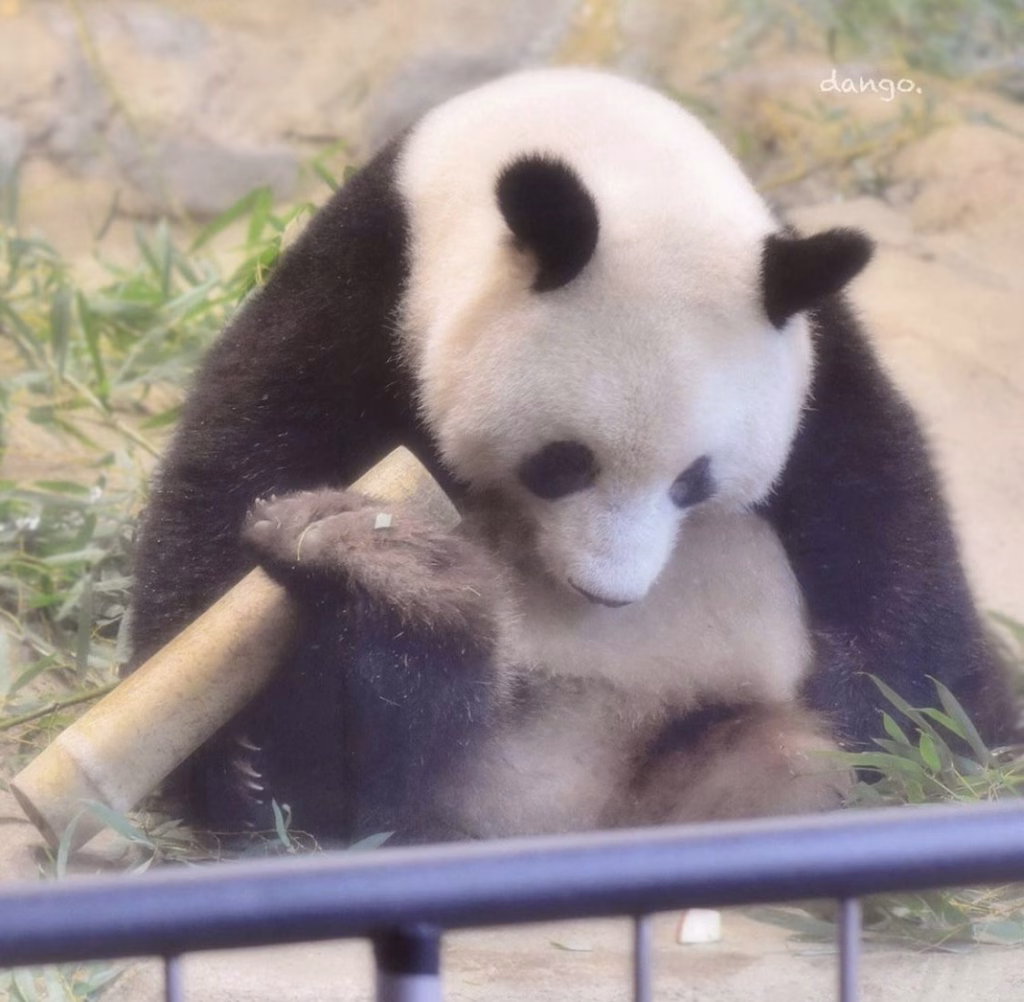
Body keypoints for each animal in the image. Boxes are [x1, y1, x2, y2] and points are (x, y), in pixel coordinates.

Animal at [128, 68, 1015, 844]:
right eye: (563, 463)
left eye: (694, 483)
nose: (608, 595)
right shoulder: (368, 284)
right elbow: (243, 457)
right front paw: (234, 760)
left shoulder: (817, 357)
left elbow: (889, 529)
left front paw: (901, 715)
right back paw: (401, 593)